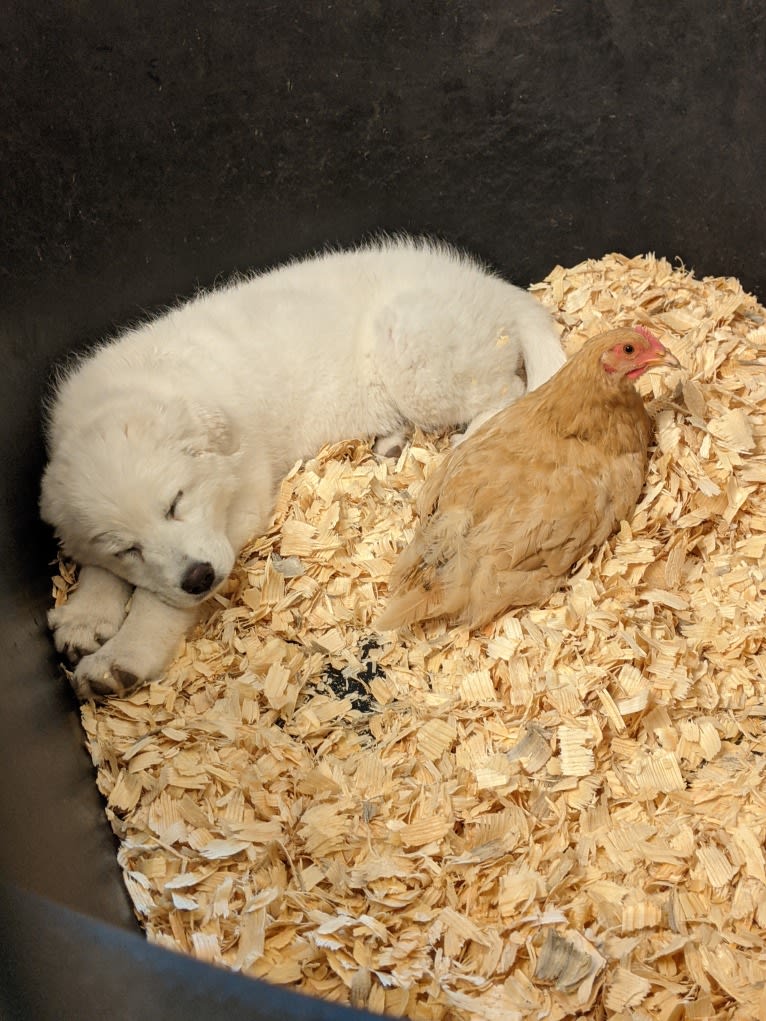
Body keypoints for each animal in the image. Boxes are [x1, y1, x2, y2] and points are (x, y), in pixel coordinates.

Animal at [41, 234, 567, 698]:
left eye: (176, 503)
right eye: (126, 547)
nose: (199, 579)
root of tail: (489, 285)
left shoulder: (242, 503)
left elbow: (158, 603)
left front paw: (121, 657)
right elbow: (101, 569)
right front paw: (86, 616)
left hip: (416, 355)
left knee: (506, 392)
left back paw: (468, 437)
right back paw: (390, 441)